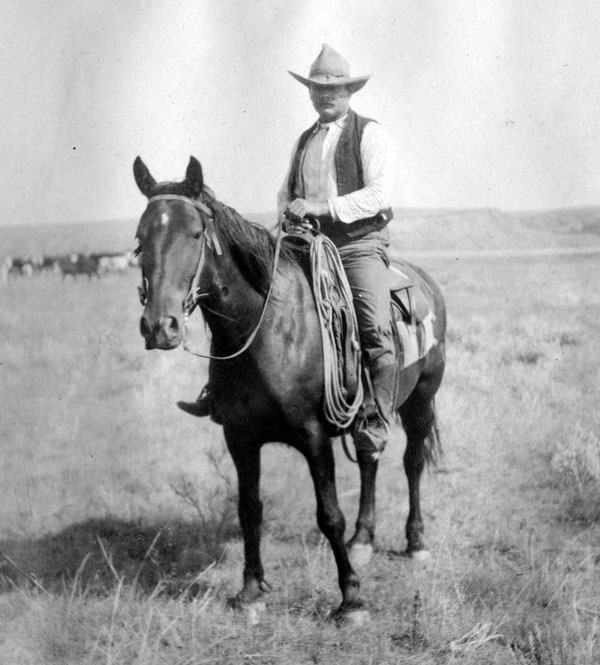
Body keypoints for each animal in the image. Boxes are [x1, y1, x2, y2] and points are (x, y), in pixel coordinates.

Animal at [134, 157, 448, 624]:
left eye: (194, 233)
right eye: (140, 239)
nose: (160, 326)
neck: (266, 329)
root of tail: (425, 282)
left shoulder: (313, 435)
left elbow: (329, 515)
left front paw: (351, 598)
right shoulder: (240, 438)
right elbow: (249, 510)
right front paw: (250, 590)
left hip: (421, 400)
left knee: (412, 463)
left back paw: (416, 542)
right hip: (371, 418)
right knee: (370, 461)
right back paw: (363, 539)